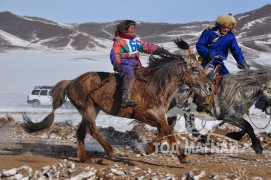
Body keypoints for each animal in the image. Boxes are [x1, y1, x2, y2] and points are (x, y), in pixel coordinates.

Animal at [23, 40, 214, 164]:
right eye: (195, 69)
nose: (210, 87)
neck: (155, 84)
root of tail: (71, 82)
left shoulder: (160, 116)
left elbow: (166, 131)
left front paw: (156, 150)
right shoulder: (143, 114)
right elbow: (166, 131)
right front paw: (172, 154)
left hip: (91, 110)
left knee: (81, 132)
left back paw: (85, 158)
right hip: (88, 108)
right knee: (92, 130)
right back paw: (111, 151)